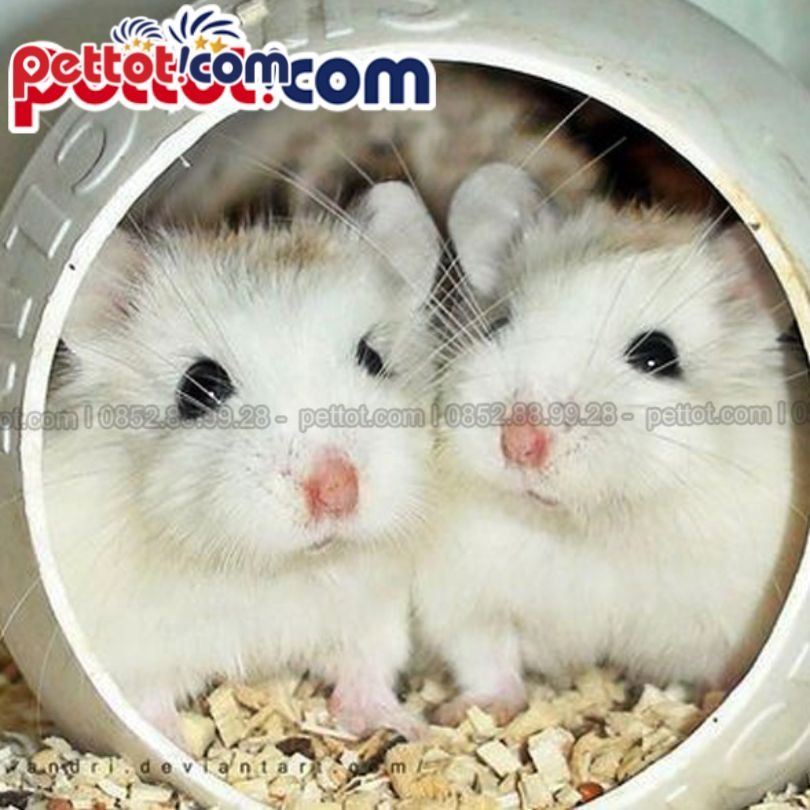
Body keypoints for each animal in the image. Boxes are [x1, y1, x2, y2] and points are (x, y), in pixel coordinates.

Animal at [44, 182, 441, 742]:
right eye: (200, 386)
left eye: (373, 358)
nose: (337, 490)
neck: (272, 568)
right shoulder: (128, 650)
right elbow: (145, 703)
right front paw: (168, 744)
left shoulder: (373, 612)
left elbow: (367, 670)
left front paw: (406, 725)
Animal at [414, 163, 809, 724]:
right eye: (499, 323)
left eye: (656, 355)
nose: (519, 443)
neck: (593, 523)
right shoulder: (462, 593)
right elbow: (486, 655)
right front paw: (464, 712)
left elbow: (731, 667)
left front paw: (714, 706)